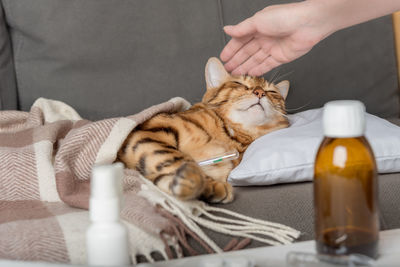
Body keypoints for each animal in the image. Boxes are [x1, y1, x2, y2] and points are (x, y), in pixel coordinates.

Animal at [117, 57, 290, 204]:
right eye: (238, 83)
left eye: (272, 92)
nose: (260, 92)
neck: (232, 136)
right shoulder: (149, 131)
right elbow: (177, 158)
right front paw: (201, 182)